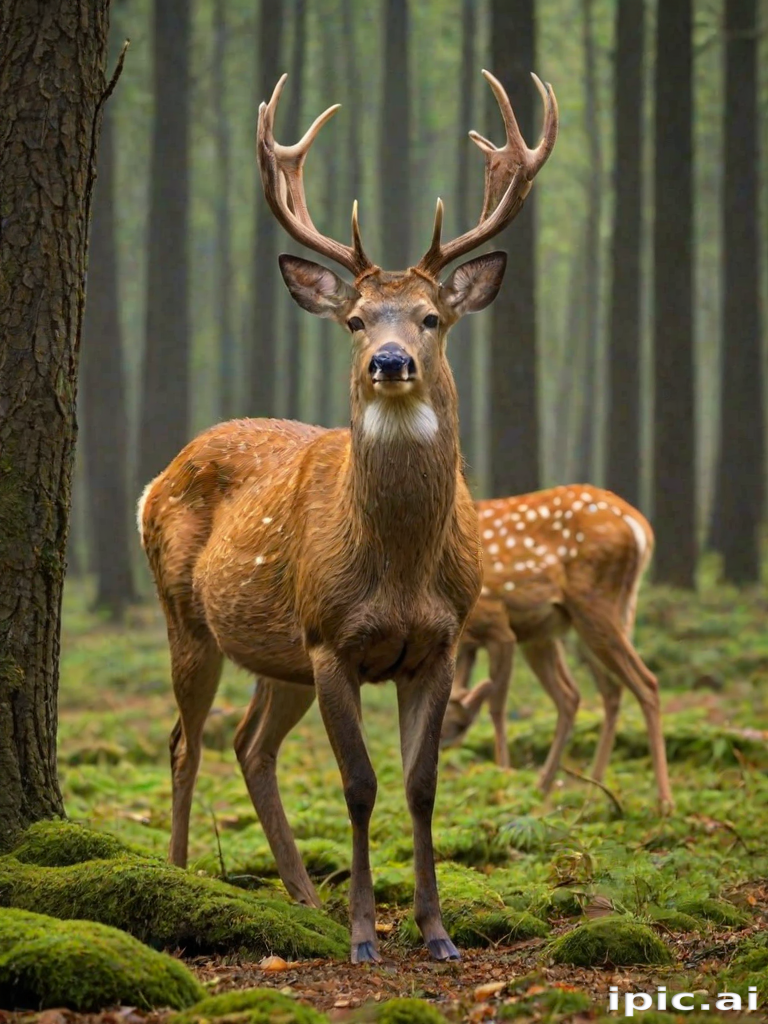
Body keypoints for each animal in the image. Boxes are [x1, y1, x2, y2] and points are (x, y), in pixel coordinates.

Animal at [137, 70, 559, 963]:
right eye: (358, 319)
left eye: (432, 318)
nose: (389, 362)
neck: (397, 568)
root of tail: (159, 476)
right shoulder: (332, 638)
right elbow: (360, 785)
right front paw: (367, 934)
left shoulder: (440, 641)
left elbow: (421, 785)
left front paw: (436, 932)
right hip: (187, 613)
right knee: (187, 740)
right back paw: (184, 876)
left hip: (277, 651)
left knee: (249, 745)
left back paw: (303, 898)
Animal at [440, 486, 674, 813]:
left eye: (458, 727)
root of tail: (640, 527)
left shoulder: (498, 624)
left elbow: (496, 706)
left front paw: (502, 779)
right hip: (567, 627)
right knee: (592, 693)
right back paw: (583, 789)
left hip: (591, 605)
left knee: (645, 683)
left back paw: (663, 801)